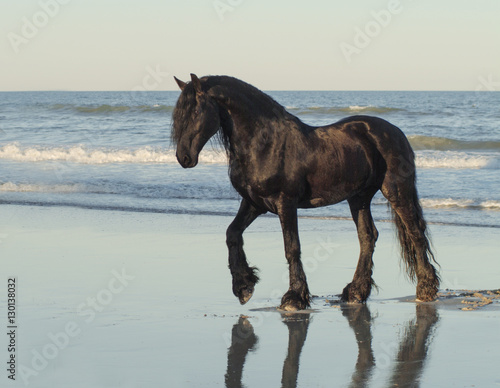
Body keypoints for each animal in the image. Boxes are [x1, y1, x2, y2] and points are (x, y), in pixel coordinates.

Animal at [171, 72, 438, 310]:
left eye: (195, 112)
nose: (184, 157)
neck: (266, 143)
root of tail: (395, 131)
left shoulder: (285, 203)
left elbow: (292, 248)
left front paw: (294, 298)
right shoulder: (254, 203)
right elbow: (232, 233)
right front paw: (244, 286)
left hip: (395, 190)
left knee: (415, 233)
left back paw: (426, 289)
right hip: (359, 198)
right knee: (368, 237)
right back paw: (355, 292)